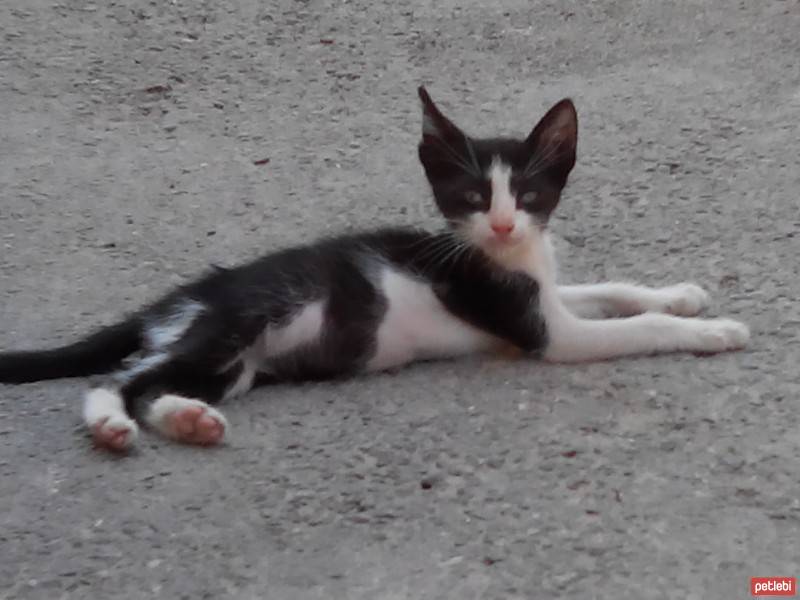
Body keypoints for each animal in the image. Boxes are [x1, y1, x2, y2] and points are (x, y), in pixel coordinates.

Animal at [0, 85, 752, 450]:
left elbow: (607, 288)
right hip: (232, 326)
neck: (505, 255)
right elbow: (633, 328)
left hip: (232, 365)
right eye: (473, 198)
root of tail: (183, 296)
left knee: (153, 384)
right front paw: (710, 331)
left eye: (529, 196)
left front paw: (681, 293)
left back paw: (188, 421)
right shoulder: (543, 330)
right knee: (117, 379)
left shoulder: (544, 293)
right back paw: (111, 426)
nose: (503, 224)